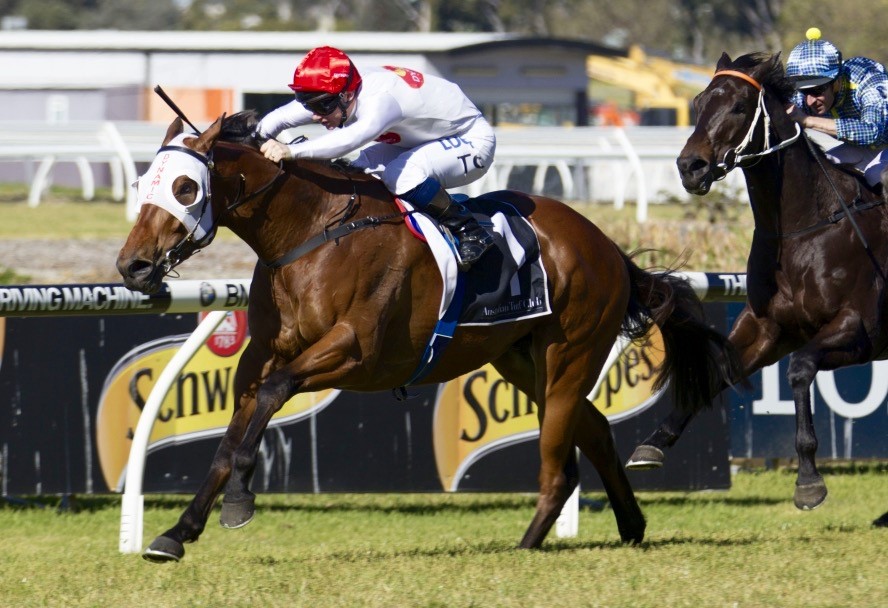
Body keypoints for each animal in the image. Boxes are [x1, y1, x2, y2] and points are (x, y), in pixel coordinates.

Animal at [117, 110, 742, 561]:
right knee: (594, 431)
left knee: (560, 463)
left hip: (570, 355)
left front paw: (240, 501)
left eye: (185, 188)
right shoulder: (260, 356)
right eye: (142, 183)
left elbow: (271, 399)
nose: (133, 267)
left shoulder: (356, 353)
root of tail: (608, 247)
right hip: (523, 361)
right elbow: (229, 438)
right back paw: (630, 525)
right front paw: (176, 533)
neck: (311, 234)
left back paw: (527, 544)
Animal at [625, 51, 888, 527]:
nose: (690, 167)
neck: (803, 230)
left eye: (739, 106)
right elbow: (717, 368)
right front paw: (653, 443)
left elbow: (800, 370)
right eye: (698, 102)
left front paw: (809, 481)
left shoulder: (858, 330)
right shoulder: (769, 328)